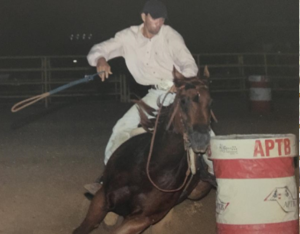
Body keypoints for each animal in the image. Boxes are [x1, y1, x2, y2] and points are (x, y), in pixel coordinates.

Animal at [74, 67, 214, 234]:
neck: (149, 168)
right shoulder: (100, 198)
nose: (201, 141)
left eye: (210, 102)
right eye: (183, 100)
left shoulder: (141, 219)